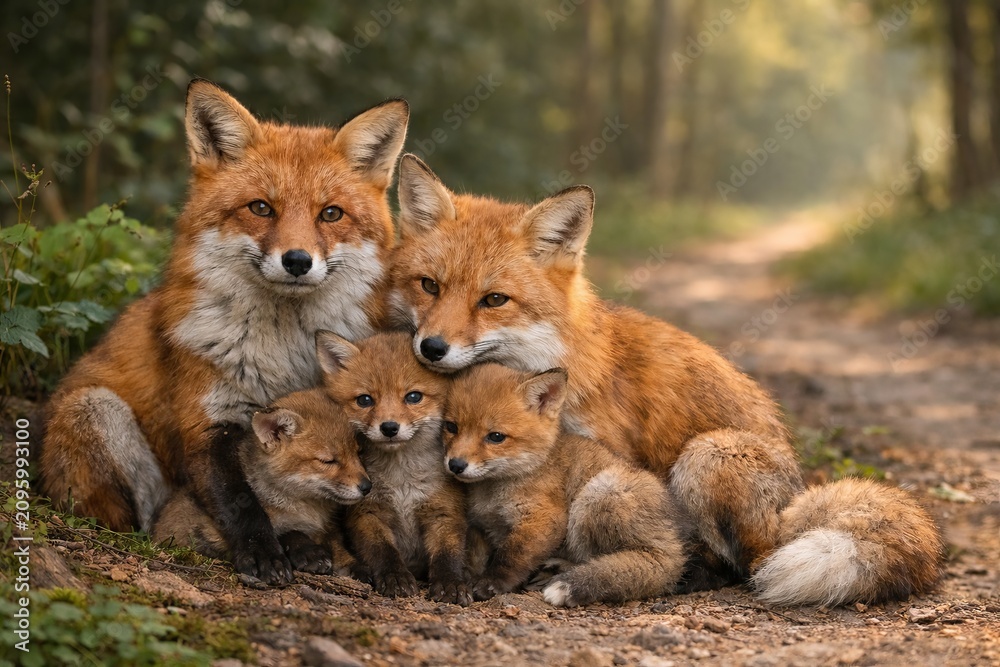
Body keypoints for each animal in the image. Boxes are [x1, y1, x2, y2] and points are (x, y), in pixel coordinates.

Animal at [152, 388, 371, 575]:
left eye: (358, 452)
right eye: (328, 461)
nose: (367, 487)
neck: (304, 509)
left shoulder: (328, 527)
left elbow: (336, 543)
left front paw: (352, 564)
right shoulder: (203, 531)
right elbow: (282, 533)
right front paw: (308, 553)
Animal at [316, 330, 472, 605]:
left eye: (413, 397)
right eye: (365, 400)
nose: (389, 427)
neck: (402, 482)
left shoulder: (444, 511)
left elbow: (447, 554)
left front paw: (451, 583)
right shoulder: (366, 512)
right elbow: (383, 551)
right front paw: (395, 577)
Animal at [442, 363, 687, 606]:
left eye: (495, 437)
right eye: (451, 427)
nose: (456, 465)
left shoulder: (545, 519)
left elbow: (512, 555)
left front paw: (492, 583)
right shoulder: (482, 525)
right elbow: (475, 557)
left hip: (598, 495)